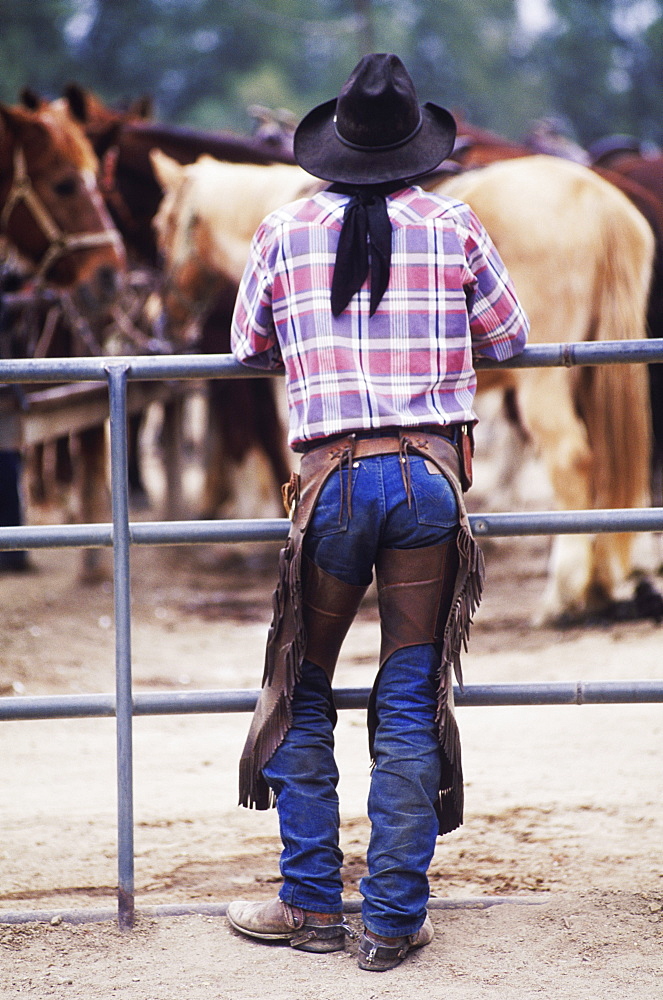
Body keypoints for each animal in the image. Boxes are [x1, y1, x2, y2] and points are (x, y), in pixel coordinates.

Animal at [153, 152, 656, 620]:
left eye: (164, 224)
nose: (161, 317)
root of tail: (598, 203)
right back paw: (603, 586)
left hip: (545, 387)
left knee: (572, 461)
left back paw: (563, 596)